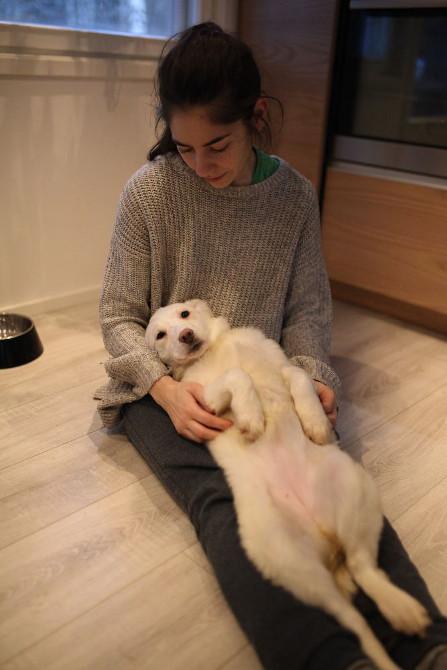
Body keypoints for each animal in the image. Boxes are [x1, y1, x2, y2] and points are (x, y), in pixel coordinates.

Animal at [146, 299, 431, 670]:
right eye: (160, 335)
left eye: (184, 315)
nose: (186, 335)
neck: (215, 351)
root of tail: (325, 535)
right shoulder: (203, 400)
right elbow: (237, 376)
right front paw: (252, 417)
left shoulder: (281, 362)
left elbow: (299, 375)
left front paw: (316, 423)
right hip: (295, 565)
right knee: (353, 617)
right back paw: (397, 622)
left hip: (356, 490)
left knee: (364, 569)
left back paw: (401, 608)